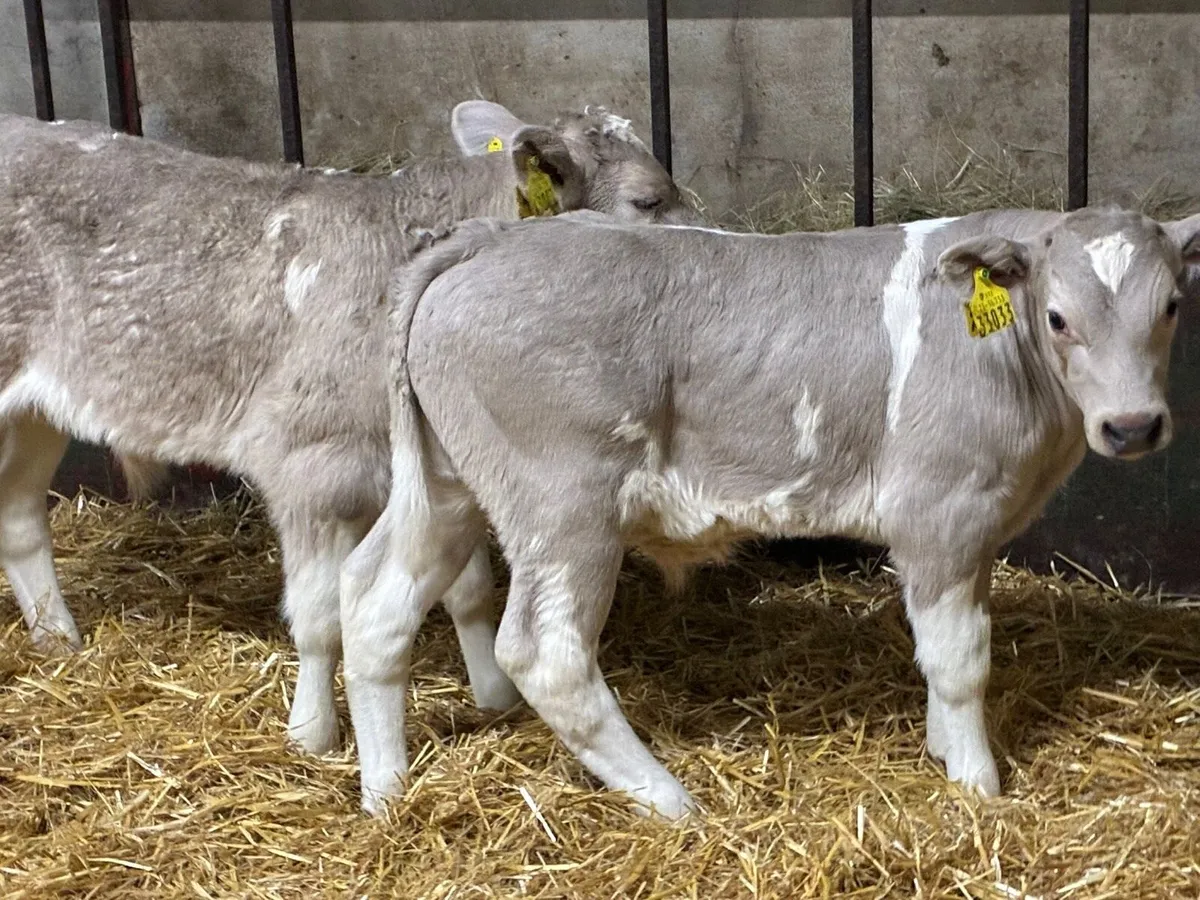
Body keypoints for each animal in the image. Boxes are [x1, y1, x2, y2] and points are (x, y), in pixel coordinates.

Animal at [0, 99, 702, 760]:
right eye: (648, 200)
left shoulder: (436, 466)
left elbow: (468, 590)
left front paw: (494, 696)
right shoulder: (313, 463)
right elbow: (320, 618)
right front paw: (312, 733)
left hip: (34, 410)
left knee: (20, 514)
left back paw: (58, 638)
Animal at [340, 206, 1200, 816]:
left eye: (1171, 306)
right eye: (1058, 317)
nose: (1133, 426)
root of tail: (488, 238)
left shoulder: (979, 527)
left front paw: (939, 750)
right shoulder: (940, 511)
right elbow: (960, 660)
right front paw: (976, 786)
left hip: (449, 482)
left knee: (374, 600)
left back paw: (386, 794)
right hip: (562, 504)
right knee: (544, 652)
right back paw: (669, 800)